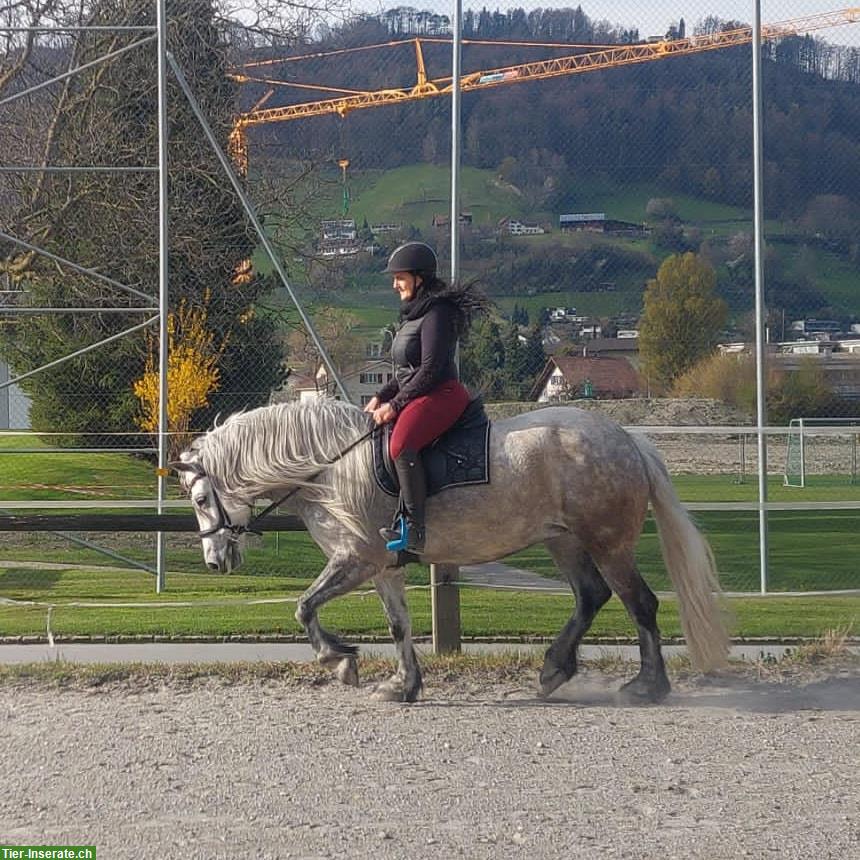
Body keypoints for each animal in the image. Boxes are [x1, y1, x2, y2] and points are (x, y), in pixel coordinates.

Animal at [173, 400, 724, 704]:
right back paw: (554, 669)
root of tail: (628, 440)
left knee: (639, 604)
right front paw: (404, 685)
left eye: (200, 500)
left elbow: (304, 607)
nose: (215, 562)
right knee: (591, 597)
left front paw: (340, 661)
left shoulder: (356, 559)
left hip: (607, 542)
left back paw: (648, 686)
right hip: (562, 539)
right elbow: (398, 625)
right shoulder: (382, 567)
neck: (329, 466)